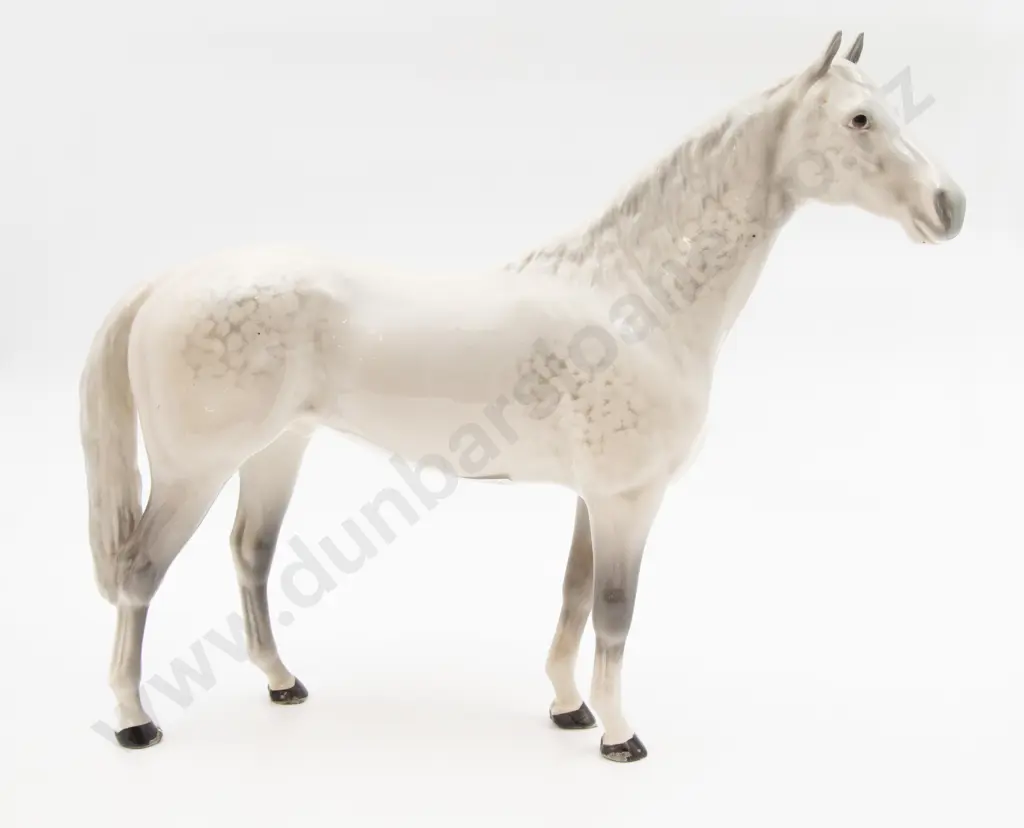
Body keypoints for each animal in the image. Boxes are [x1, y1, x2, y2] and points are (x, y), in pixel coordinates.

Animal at [79, 31, 966, 763]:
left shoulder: (593, 498)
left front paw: (570, 709)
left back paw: (281, 681)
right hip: (195, 471)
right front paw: (620, 736)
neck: (633, 299)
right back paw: (134, 721)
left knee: (250, 556)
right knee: (140, 572)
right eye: (859, 119)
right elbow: (614, 610)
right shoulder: (627, 500)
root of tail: (170, 282)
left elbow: (574, 597)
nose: (949, 207)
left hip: (274, 452)